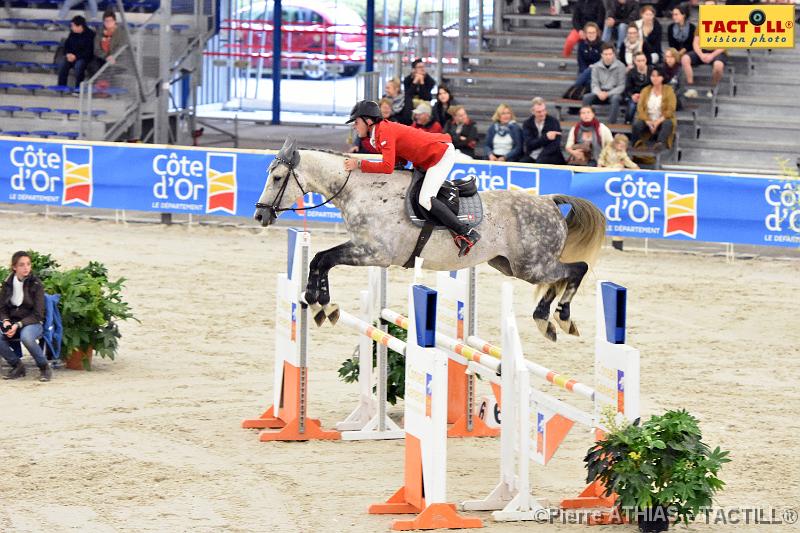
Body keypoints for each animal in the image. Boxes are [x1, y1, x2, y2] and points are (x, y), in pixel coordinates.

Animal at [256, 138, 608, 340]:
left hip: (531, 265)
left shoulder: (375, 252)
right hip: (510, 265)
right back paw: (545, 319)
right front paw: (319, 304)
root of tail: (549, 201)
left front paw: (322, 304)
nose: (260, 216)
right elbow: (319, 260)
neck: (360, 191)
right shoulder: (363, 249)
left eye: (277, 177)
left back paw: (560, 318)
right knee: (558, 278)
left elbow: (324, 258)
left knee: (575, 270)